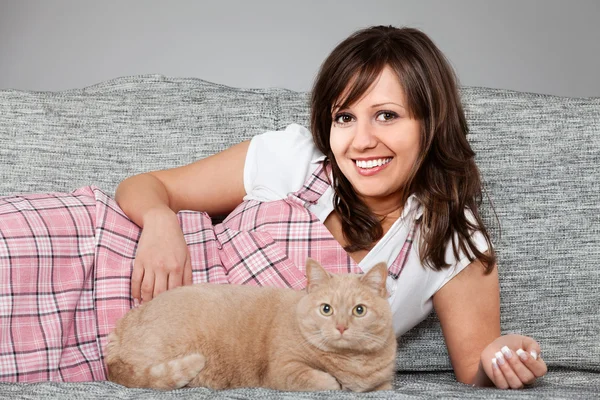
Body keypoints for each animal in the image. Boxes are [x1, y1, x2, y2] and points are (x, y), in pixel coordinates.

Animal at [106, 258, 398, 392]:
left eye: (359, 310)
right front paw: (336, 383)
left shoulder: (383, 385)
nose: (341, 327)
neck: (353, 363)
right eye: (326, 309)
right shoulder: (284, 370)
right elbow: (321, 380)